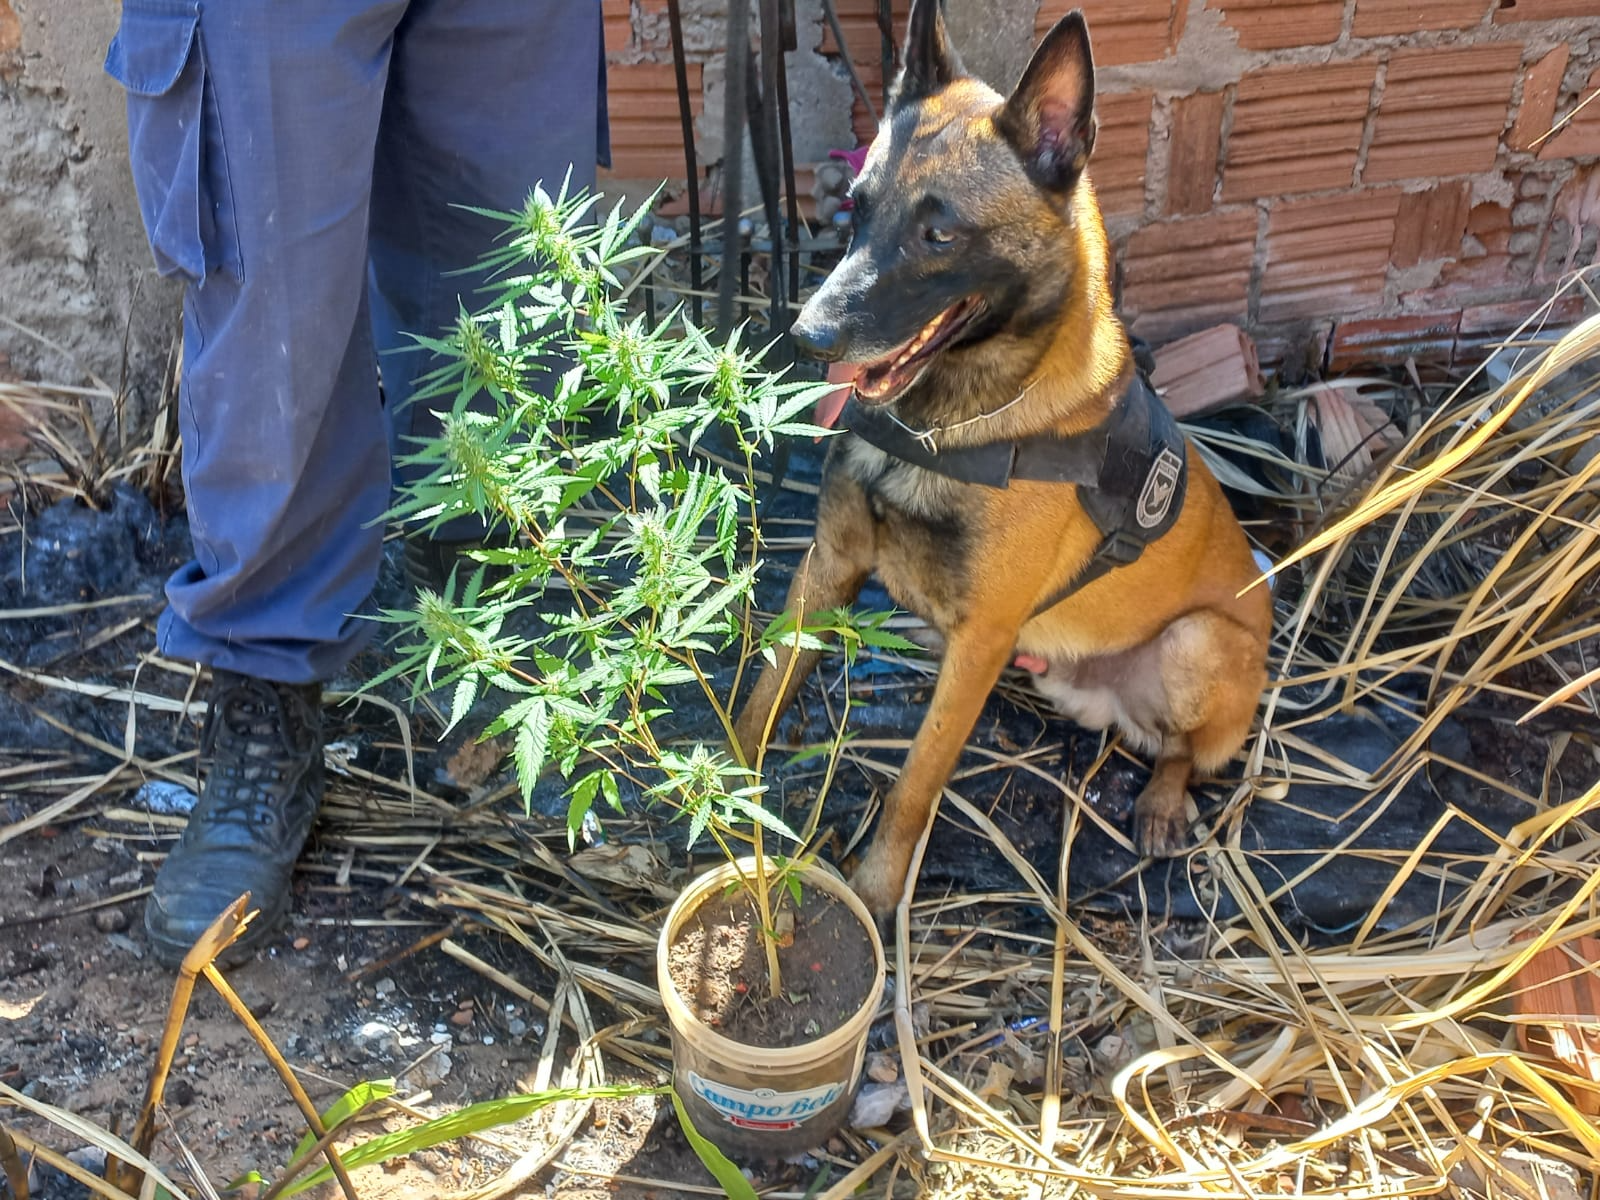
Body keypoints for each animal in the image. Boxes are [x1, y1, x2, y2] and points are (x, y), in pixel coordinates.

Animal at [736, 0, 1273, 915]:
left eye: (938, 232)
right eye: (856, 209)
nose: (806, 338)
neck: (950, 427)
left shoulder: (982, 641)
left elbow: (917, 778)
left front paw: (877, 890)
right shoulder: (828, 562)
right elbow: (768, 687)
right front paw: (718, 787)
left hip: (1196, 642)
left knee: (1183, 756)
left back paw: (1164, 804)